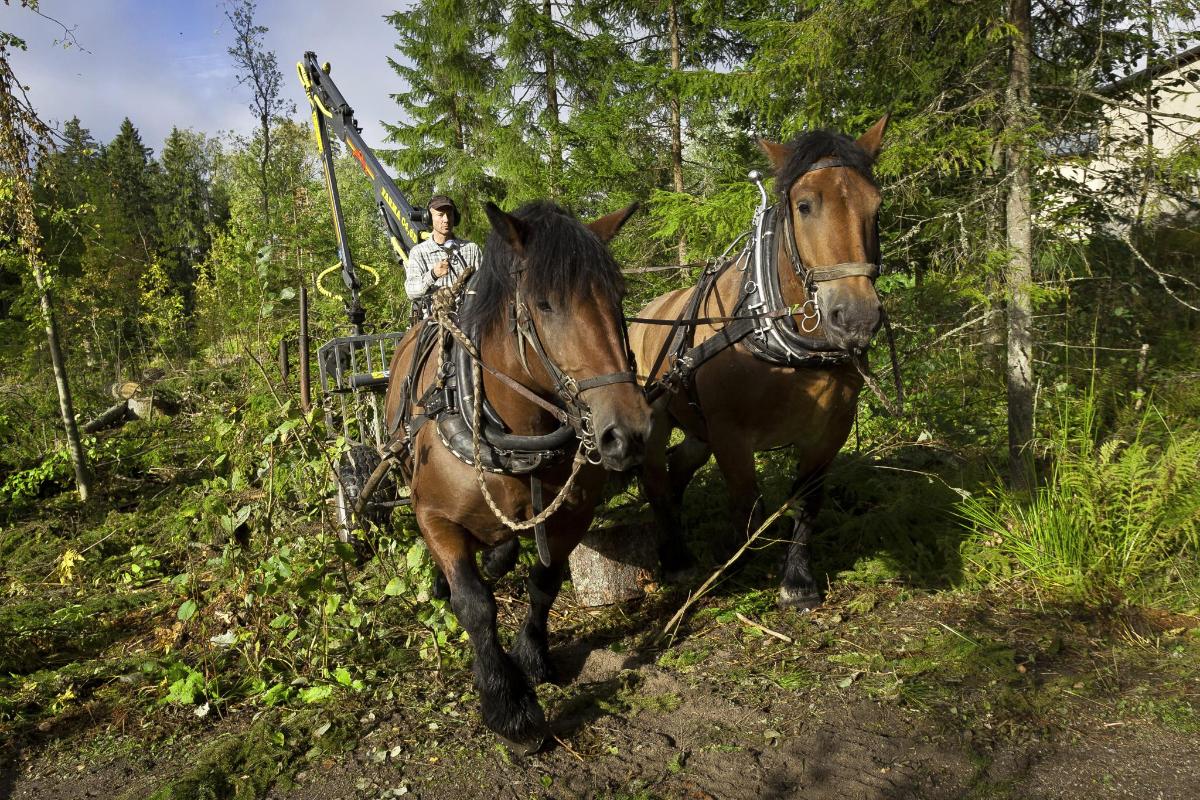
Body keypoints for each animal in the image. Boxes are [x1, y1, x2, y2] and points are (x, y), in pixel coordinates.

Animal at [381, 199, 648, 753]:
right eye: (544, 305)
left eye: (617, 297)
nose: (628, 434)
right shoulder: (435, 517)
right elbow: (475, 604)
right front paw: (509, 705)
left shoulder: (572, 515)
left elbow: (544, 581)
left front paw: (533, 657)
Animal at [628, 115, 892, 609]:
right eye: (805, 206)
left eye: (877, 205)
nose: (856, 318)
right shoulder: (731, 435)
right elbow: (748, 506)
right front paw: (734, 573)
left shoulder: (830, 429)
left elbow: (807, 501)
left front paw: (797, 581)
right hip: (654, 422)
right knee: (653, 477)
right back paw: (674, 557)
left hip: (697, 430)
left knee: (677, 469)